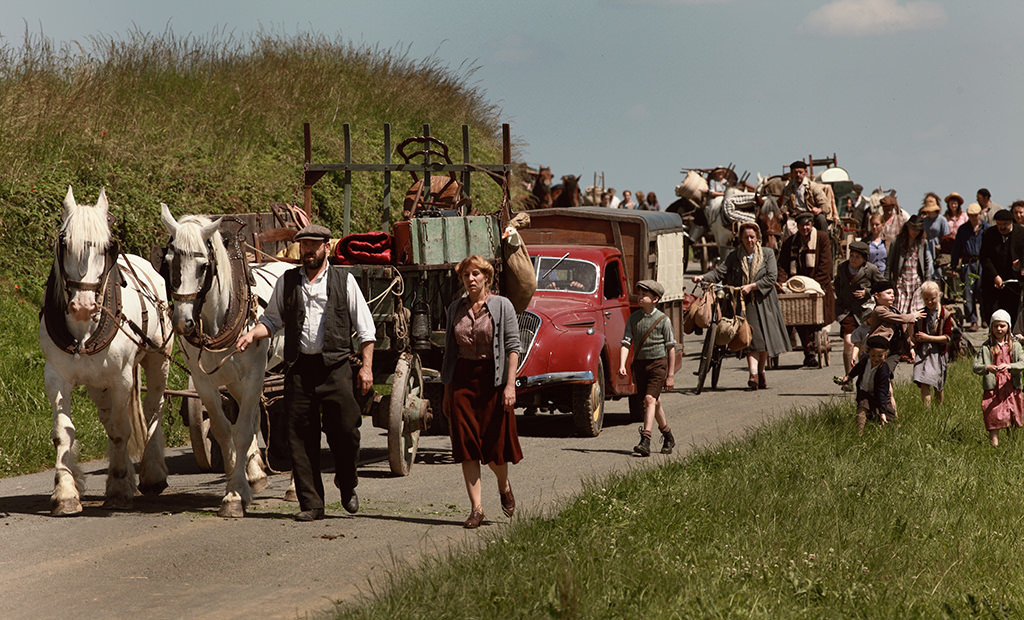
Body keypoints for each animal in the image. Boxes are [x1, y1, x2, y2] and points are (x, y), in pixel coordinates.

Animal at [39, 186, 172, 514]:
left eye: (107, 247)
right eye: (64, 242)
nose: (83, 306)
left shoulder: (121, 378)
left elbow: (121, 429)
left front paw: (121, 487)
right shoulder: (56, 377)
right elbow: (63, 432)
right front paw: (66, 492)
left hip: (158, 359)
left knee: (153, 409)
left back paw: (152, 474)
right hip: (98, 384)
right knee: (108, 415)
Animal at [159, 203, 290, 516]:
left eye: (203, 266)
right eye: (169, 262)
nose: (183, 322)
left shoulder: (254, 374)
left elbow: (241, 431)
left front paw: (234, 494)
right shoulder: (204, 381)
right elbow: (223, 430)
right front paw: (238, 486)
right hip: (234, 380)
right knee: (253, 415)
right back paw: (255, 474)